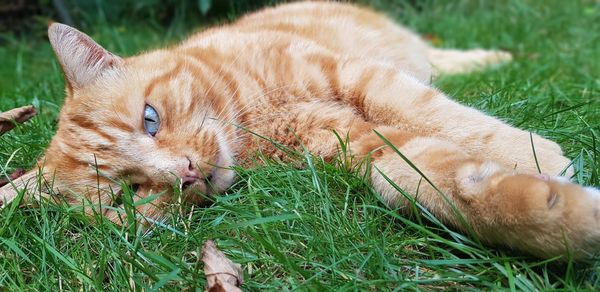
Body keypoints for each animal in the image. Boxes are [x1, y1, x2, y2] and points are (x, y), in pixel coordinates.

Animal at [0, 1, 596, 258]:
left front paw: (534, 153)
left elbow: (438, 113)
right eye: (130, 194)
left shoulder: (355, 75)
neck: (250, 124)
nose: (186, 172)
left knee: (442, 63)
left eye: (150, 119)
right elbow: (425, 177)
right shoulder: (353, 144)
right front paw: (557, 218)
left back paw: (498, 58)